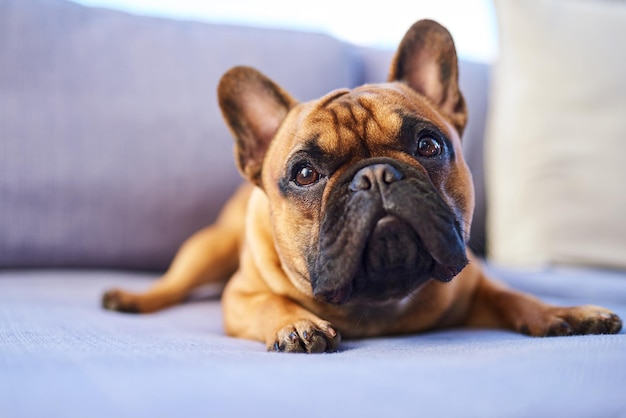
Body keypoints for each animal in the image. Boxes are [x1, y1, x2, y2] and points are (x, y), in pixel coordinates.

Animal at [102, 20, 620, 352]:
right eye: (304, 174)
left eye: (428, 145)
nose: (375, 175)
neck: (377, 300)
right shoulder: (240, 298)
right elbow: (267, 302)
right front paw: (295, 323)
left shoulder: (476, 287)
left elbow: (513, 296)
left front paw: (563, 312)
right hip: (208, 249)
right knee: (173, 283)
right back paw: (132, 298)